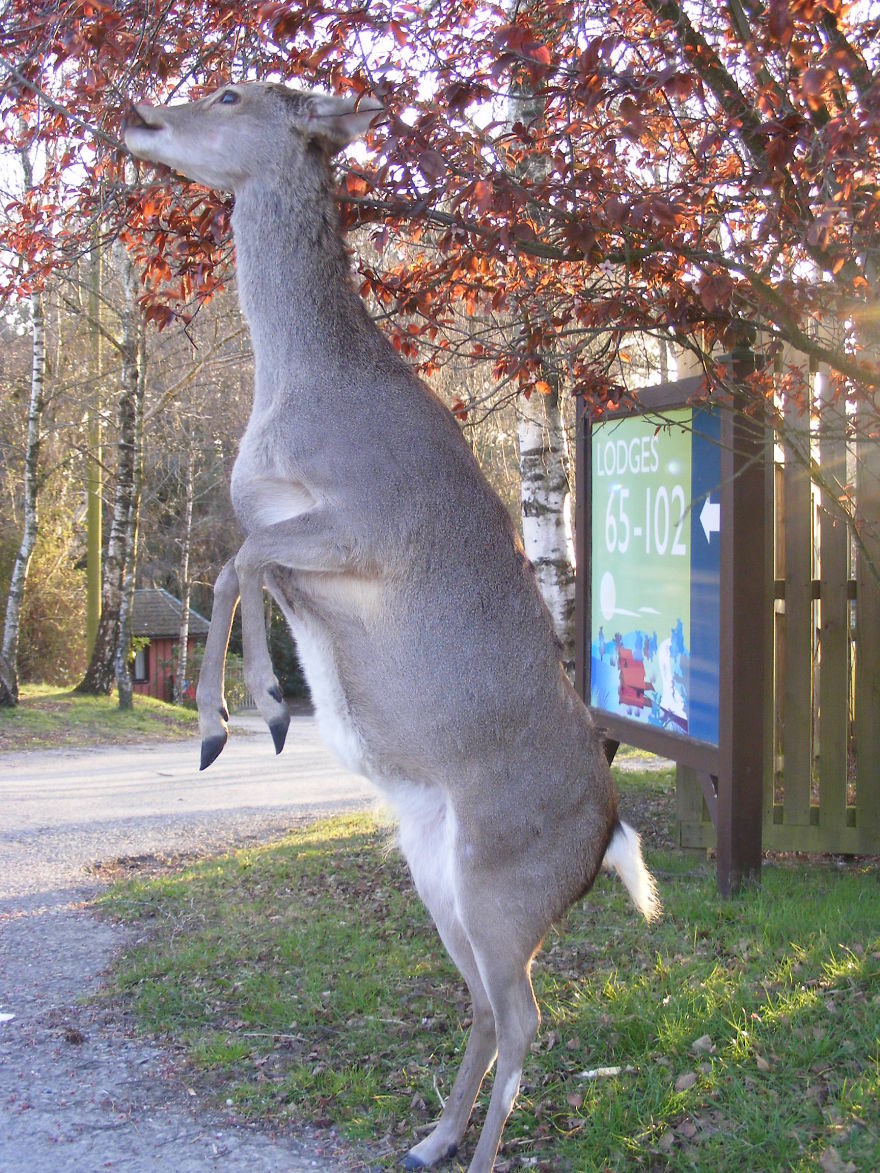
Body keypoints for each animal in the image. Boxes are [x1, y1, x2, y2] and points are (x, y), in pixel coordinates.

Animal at [125, 82, 660, 1173]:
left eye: (233, 90)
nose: (136, 113)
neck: (297, 395)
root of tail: (611, 834)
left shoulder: (367, 521)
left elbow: (239, 557)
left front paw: (241, 718)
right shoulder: (294, 540)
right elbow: (241, 561)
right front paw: (255, 714)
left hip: (505, 880)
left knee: (529, 1016)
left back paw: (476, 1150)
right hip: (440, 874)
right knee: (490, 1005)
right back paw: (432, 1137)